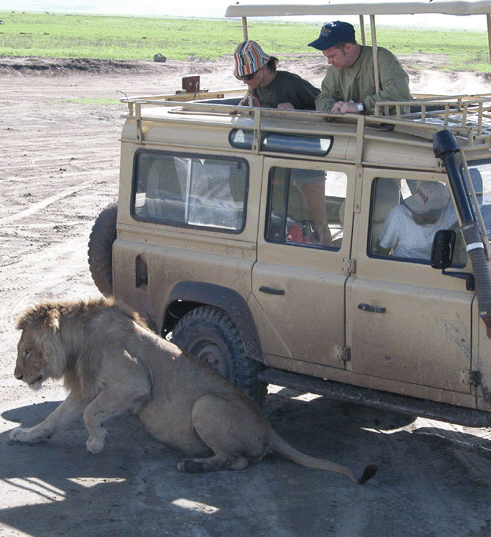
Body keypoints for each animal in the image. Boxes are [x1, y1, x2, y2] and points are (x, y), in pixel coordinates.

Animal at [9, 296, 376, 484]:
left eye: (25, 350)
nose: (16, 375)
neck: (78, 343)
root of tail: (268, 428)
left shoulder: (133, 381)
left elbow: (88, 414)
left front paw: (96, 442)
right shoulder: (87, 389)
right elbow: (54, 419)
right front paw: (25, 435)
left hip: (206, 405)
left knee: (238, 461)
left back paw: (190, 465)